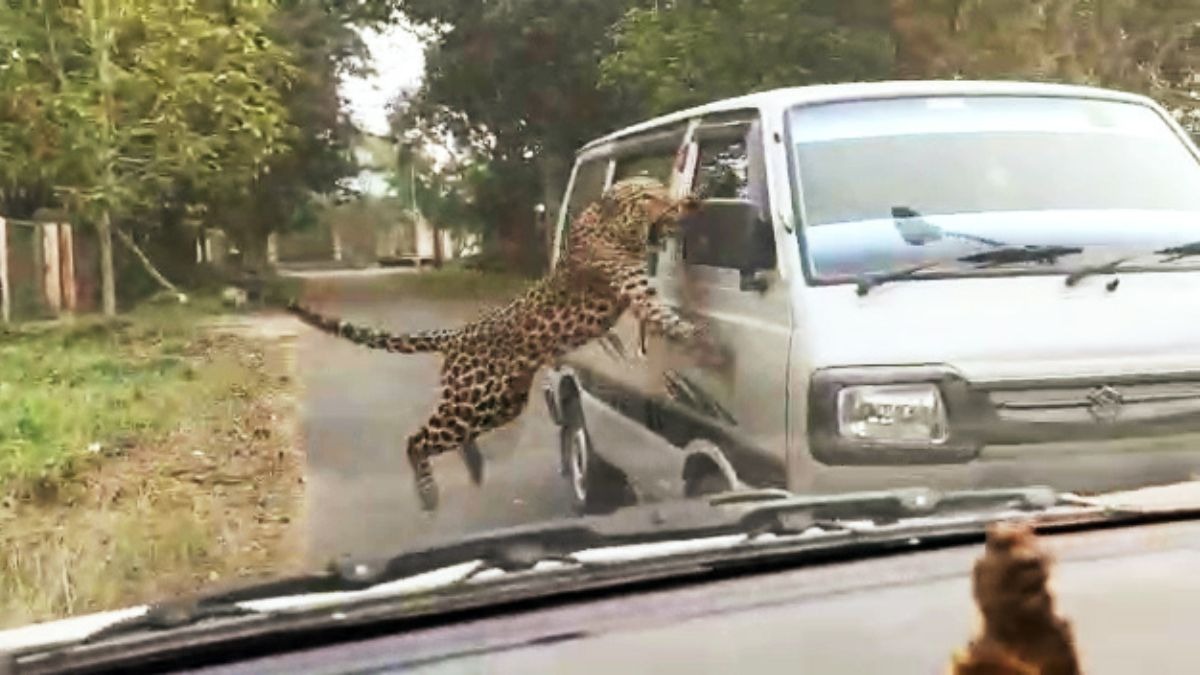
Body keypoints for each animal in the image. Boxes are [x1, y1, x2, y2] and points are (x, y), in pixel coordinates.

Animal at [288, 176, 709, 512]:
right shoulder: (633, 286)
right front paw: (697, 336)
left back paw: (474, 467)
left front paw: (690, 200)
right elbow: (662, 314)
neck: (610, 224)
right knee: (416, 439)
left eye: (661, 190)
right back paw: (429, 494)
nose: (672, 203)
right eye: (646, 197)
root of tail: (459, 334)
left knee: (458, 435)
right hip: (469, 399)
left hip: (501, 403)